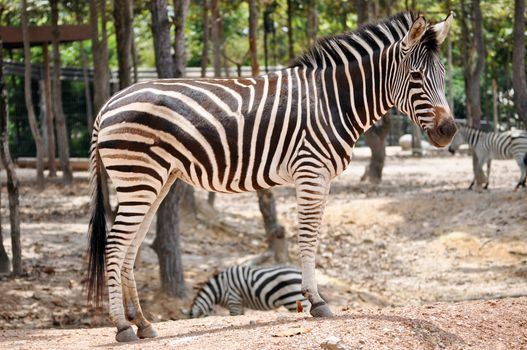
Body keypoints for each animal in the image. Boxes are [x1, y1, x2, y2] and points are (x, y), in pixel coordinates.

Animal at [87, 11, 458, 342]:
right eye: (415, 76)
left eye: (442, 74)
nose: (449, 131)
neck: (333, 101)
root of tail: (107, 104)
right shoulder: (310, 170)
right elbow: (308, 237)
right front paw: (316, 301)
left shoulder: (321, 177)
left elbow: (313, 235)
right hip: (139, 177)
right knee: (115, 244)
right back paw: (121, 327)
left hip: (155, 182)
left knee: (130, 246)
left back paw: (143, 323)